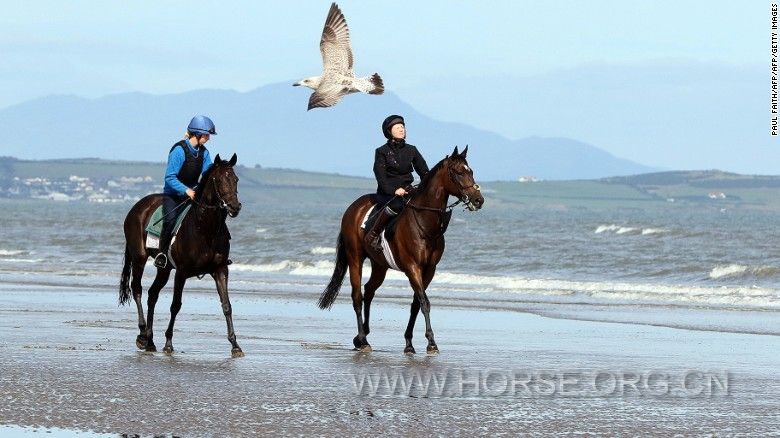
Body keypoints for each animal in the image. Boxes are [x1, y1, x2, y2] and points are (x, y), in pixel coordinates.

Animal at [116, 153, 241, 356]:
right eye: (220, 180)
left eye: (236, 179)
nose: (235, 207)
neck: (205, 229)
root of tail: (137, 207)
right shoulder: (181, 272)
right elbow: (175, 305)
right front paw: (168, 343)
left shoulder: (220, 269)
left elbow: (226, 305)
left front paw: (235, 345)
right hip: (139, 258)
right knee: (137, 289)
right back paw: (142, 334)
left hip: (164, 268)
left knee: (152, 294)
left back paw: (150, 340)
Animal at [316, 145, 482, 354]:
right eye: (459, 172)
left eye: (471, 171)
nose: (478, 200)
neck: (424, 224)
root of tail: (352, 208)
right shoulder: (412, 267)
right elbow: (424, 302)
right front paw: (431, 342)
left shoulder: (429, 270)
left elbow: (416, 303)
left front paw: (409, 343)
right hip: (355, 259)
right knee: (357, 296)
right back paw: (363, 340)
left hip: (380, 265)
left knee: (369, 291)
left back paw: (362, 336)